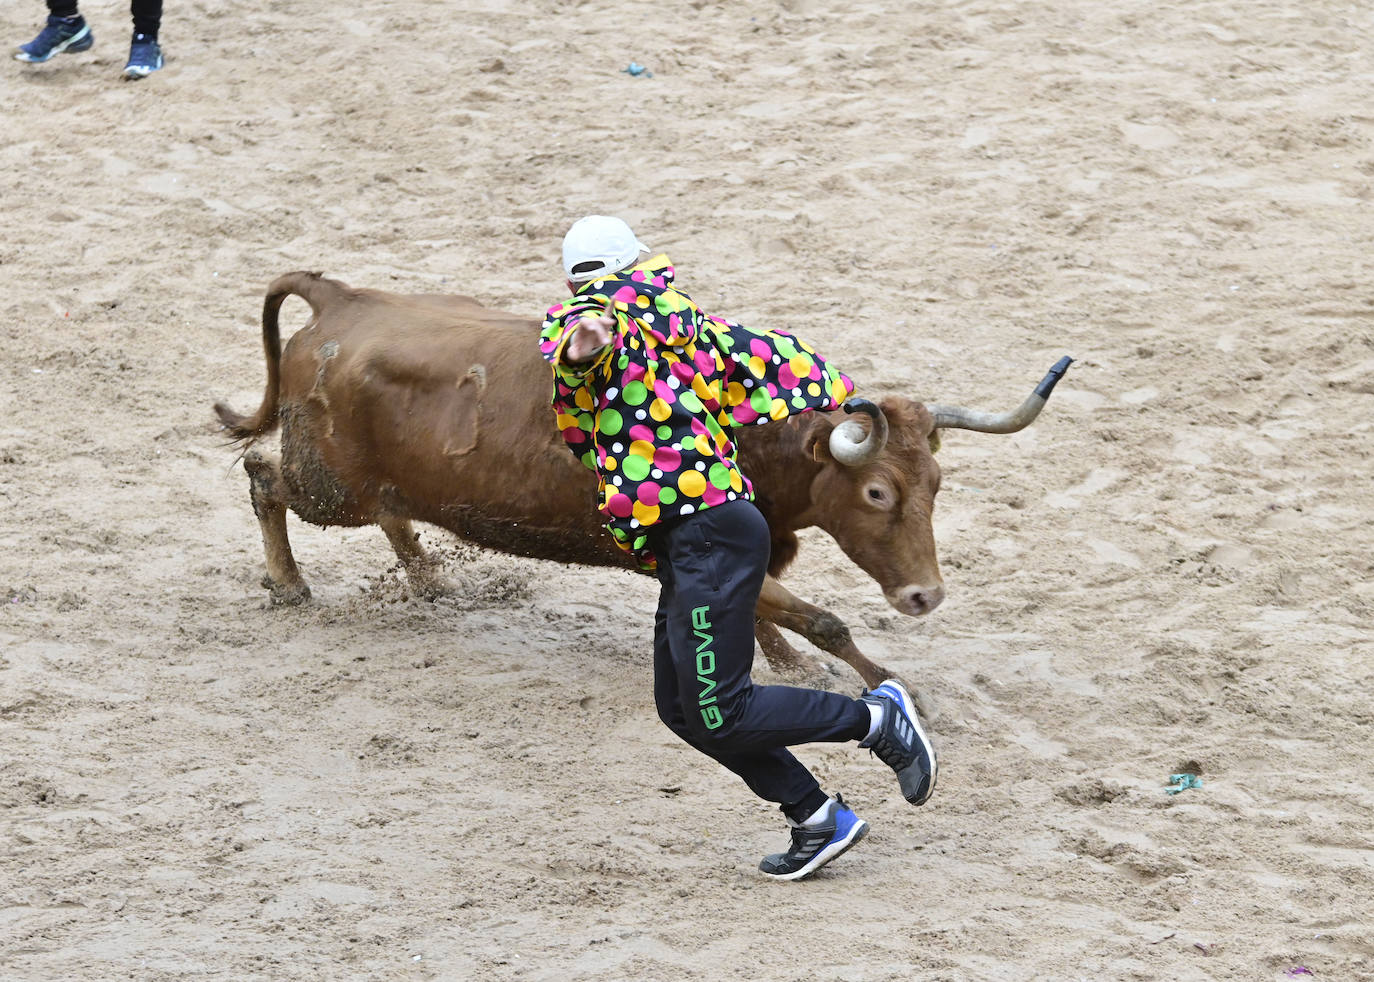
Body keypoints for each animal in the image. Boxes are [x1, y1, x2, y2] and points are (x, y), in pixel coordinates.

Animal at [214, 270, 1071, 692]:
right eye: (877, 494)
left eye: (938, 483)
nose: (925, 596)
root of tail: (342, 302)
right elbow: (822, 620)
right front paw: (880, 680)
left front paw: (792, 666)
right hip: (329, 485)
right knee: (263, 477)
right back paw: (288, 584)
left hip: (370, 484)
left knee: (392, 514)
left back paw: (430, 581)